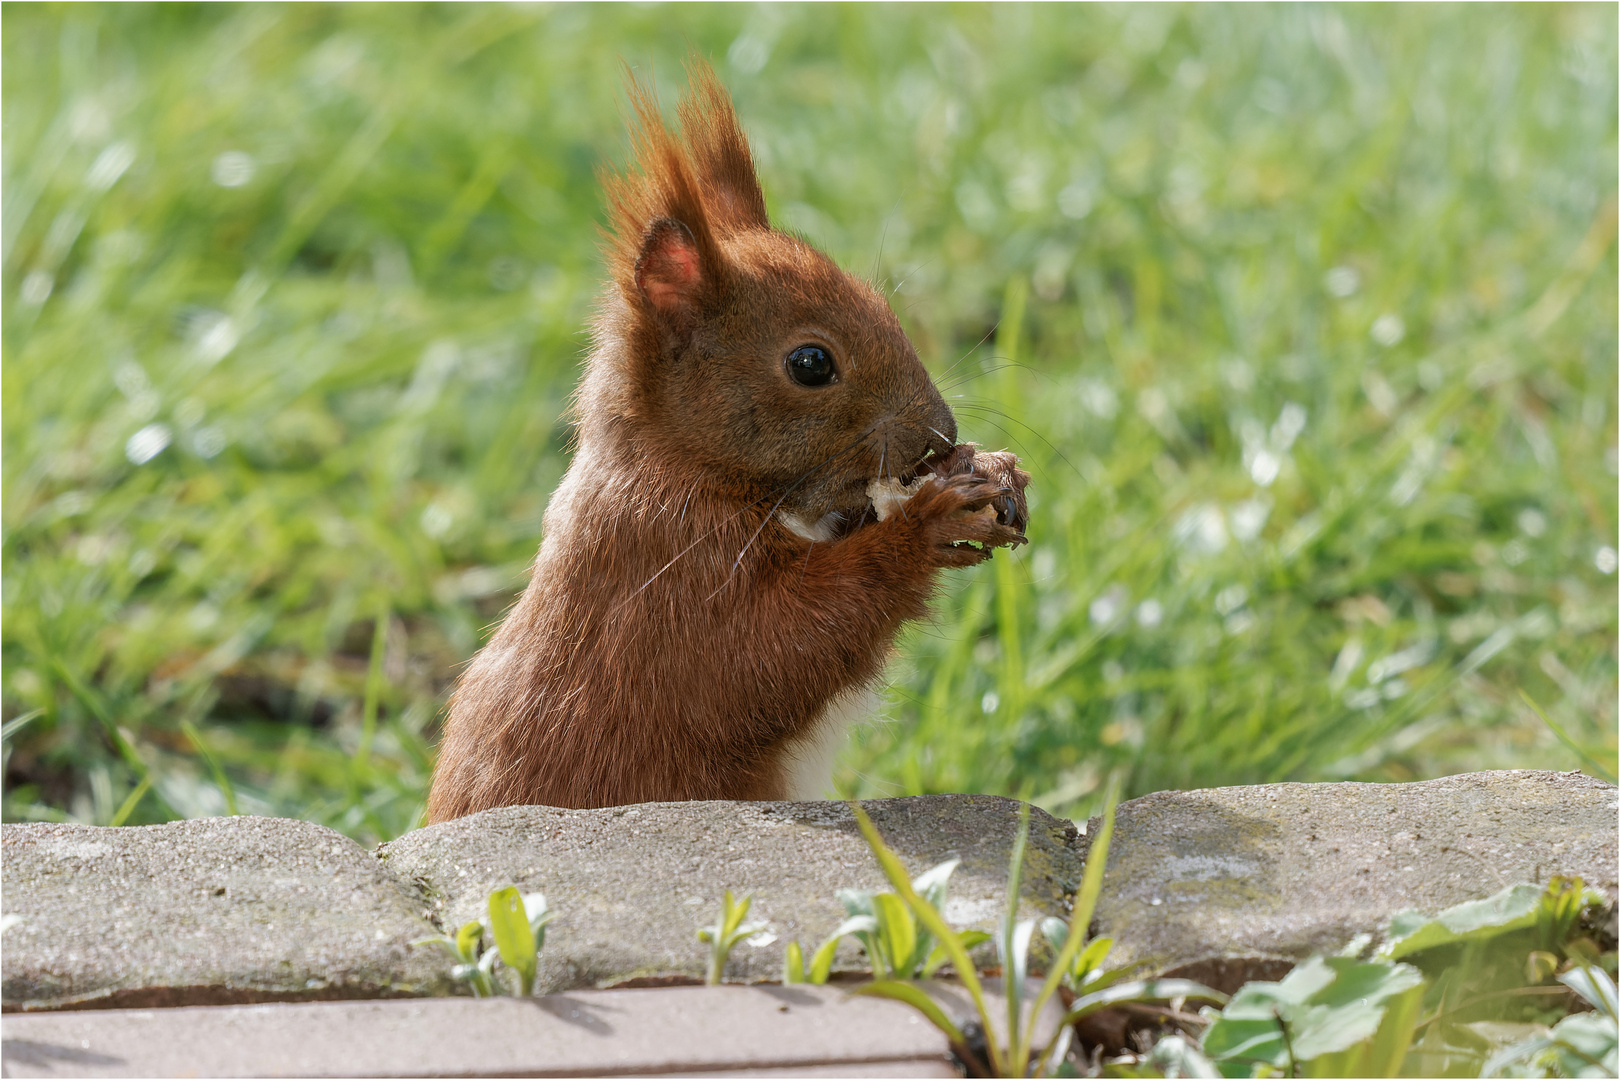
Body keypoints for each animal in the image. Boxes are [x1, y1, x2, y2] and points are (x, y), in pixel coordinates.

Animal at [424, 61, 1030, 819]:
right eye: (811, 363)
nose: (940, 435)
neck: (679, 462)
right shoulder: (668, 579)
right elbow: (771, 653)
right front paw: (926, 524)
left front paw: (988, 470)